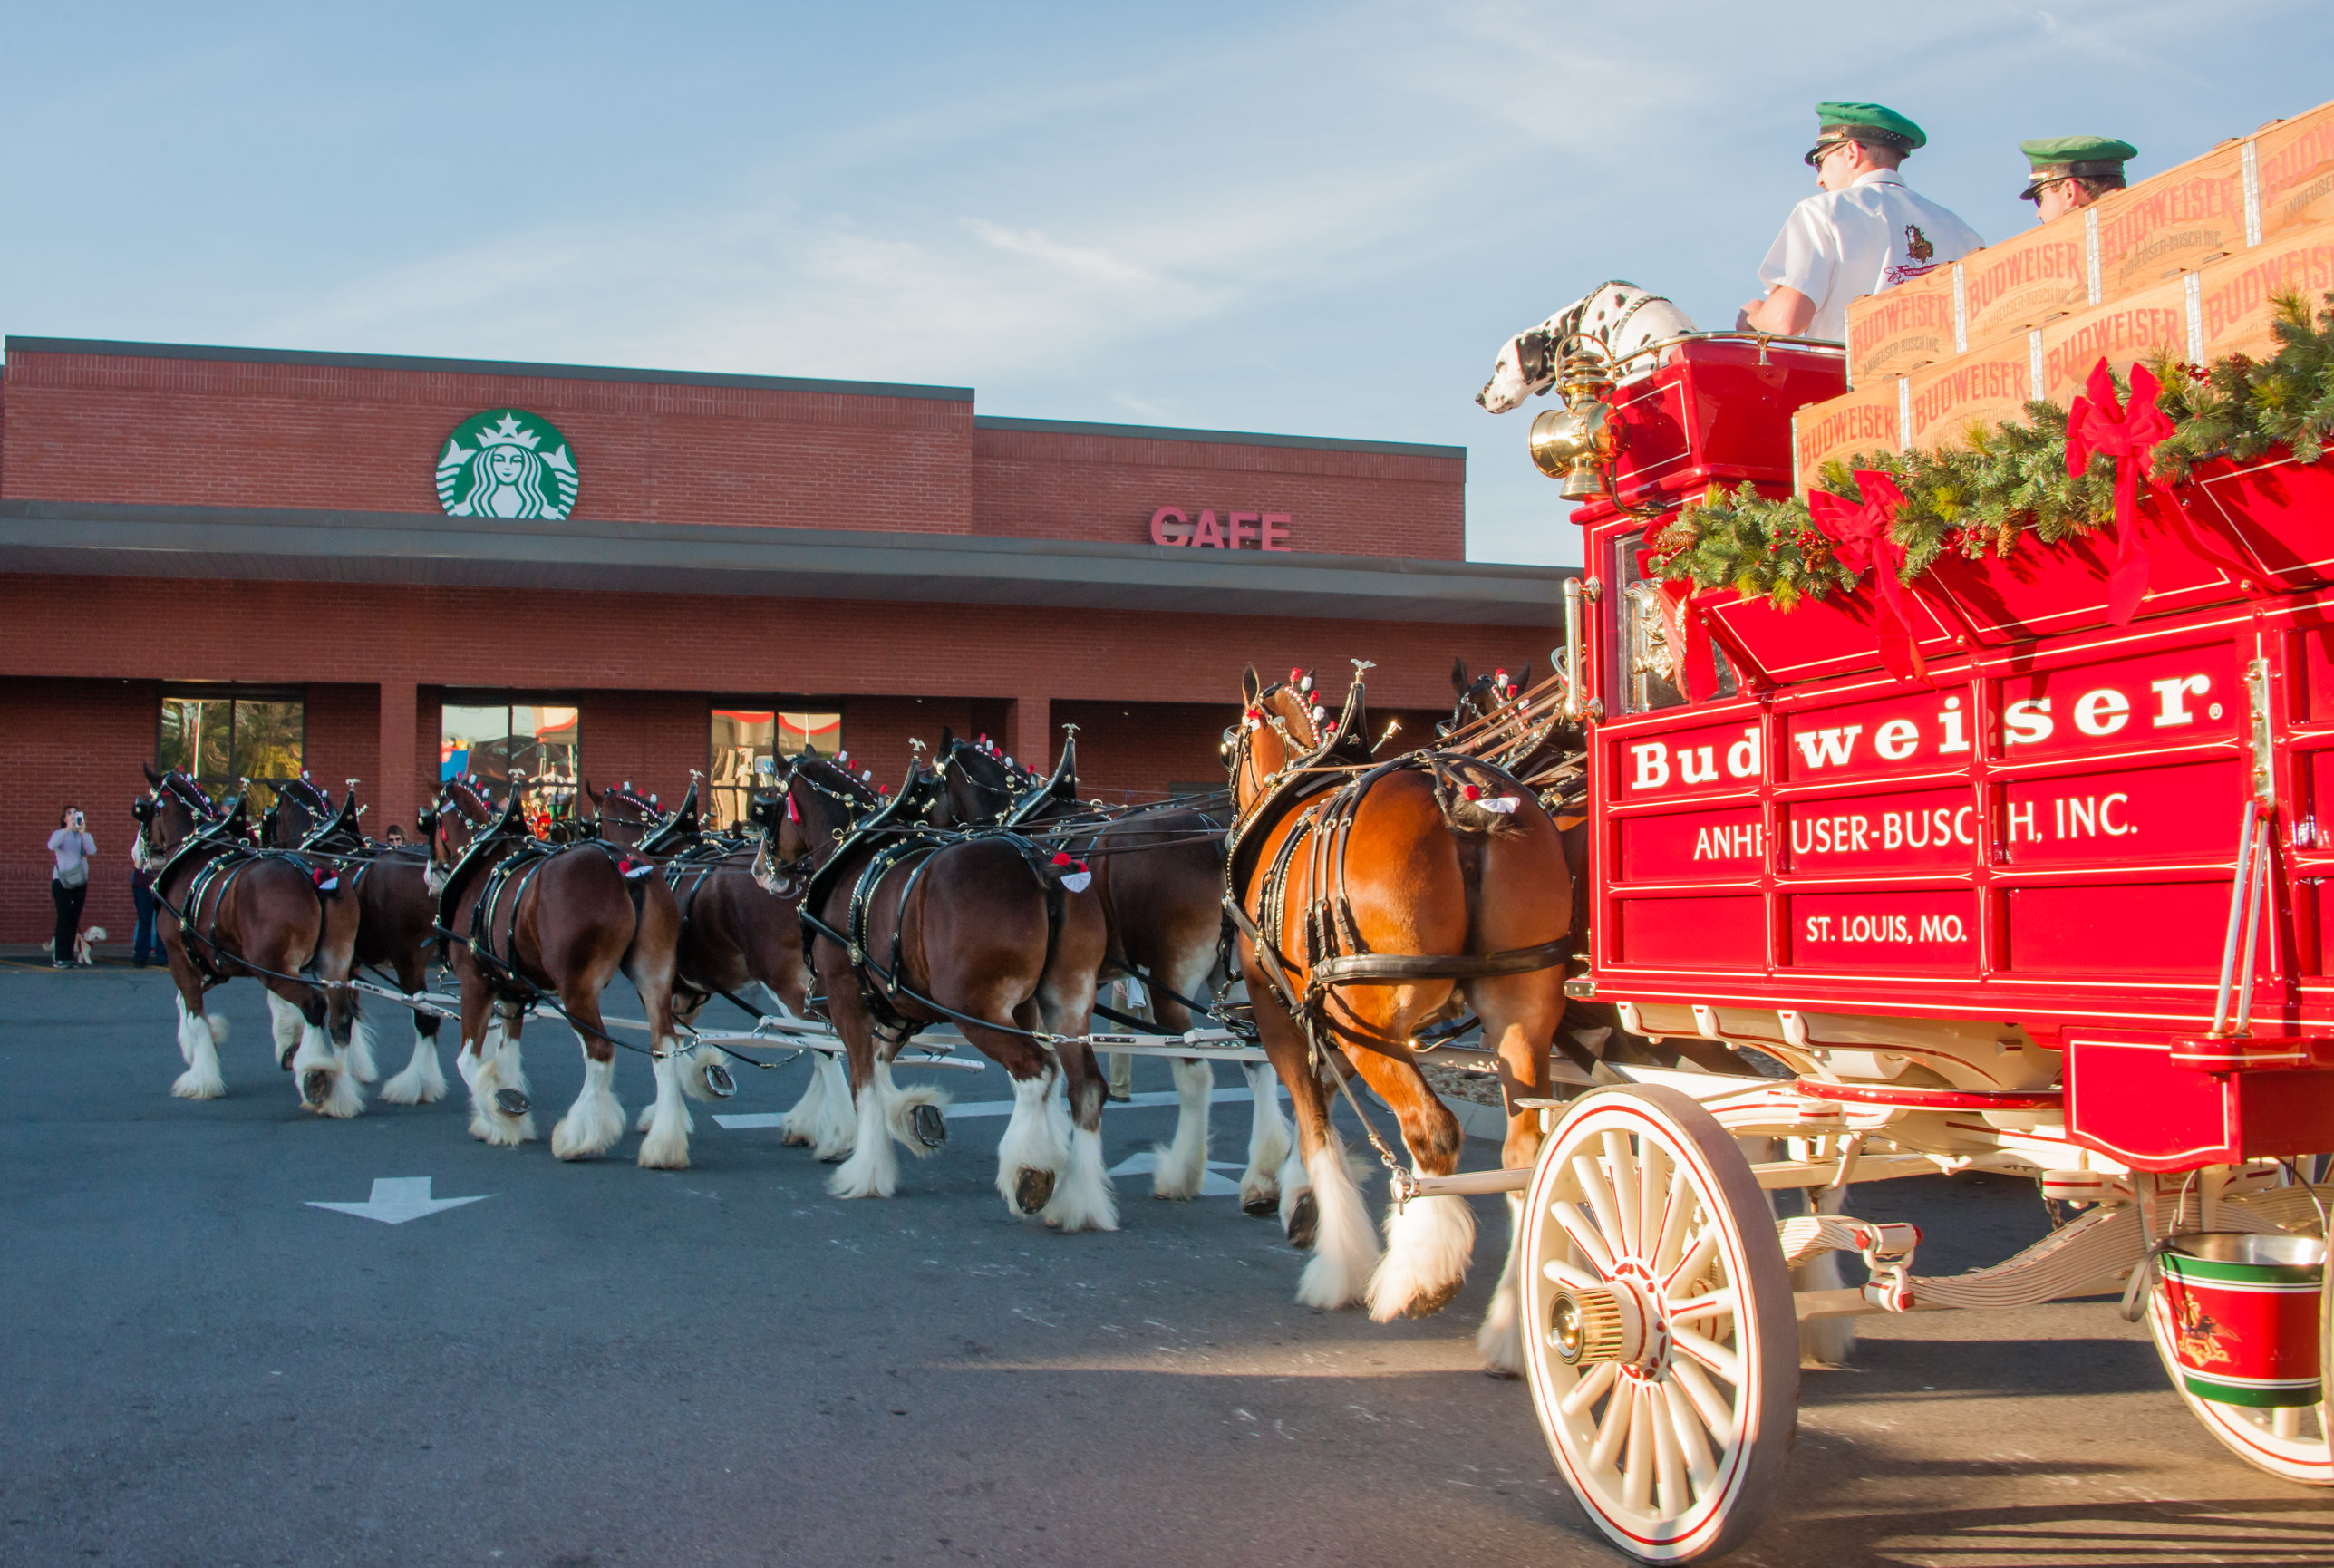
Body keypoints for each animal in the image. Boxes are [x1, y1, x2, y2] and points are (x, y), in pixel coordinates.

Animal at [265, 769, 445, 1101]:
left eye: (271, 814)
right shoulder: (347, 961)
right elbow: (349, 1007)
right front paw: (355, 1065)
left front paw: (291, 1048)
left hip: (408, 957)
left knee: (426, 1017)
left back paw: (415, 1084)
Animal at [780, 750, 1115, 1222]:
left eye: (767, 805)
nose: (762, 866)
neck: (853, 858)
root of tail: (1042, 866)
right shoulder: (902, 1006)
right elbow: (880, 1068)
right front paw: (913, 1119)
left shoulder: (849, 998)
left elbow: (863, 1082)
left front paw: (866, 1171)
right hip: (1066, 1003)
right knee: (1083, 1086)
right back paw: (1078, 1202)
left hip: (974, 1011)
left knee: (1036, 1070)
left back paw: (1028, 1170)